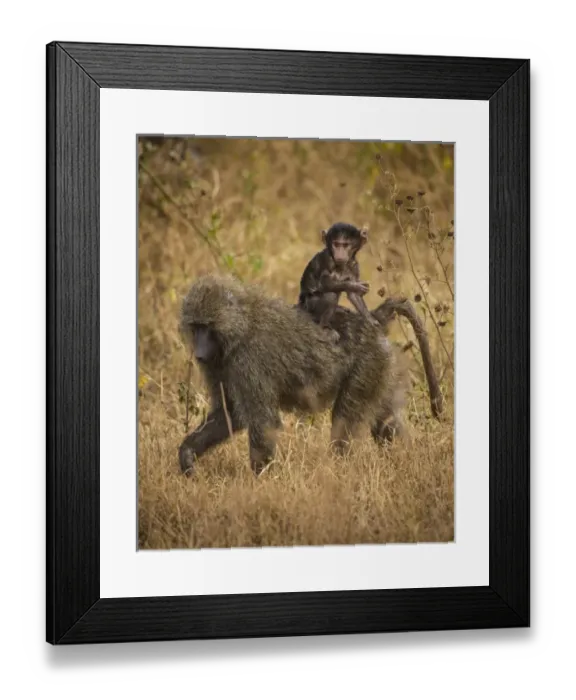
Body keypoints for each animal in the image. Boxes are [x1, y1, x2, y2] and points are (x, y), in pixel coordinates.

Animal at [178, 274, 407, 477]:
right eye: (196, 327)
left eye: (207, 327)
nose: (199, 353)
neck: (240, 326)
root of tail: (373, 320)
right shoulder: (218, 366)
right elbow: (230, 412)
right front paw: (187, 454)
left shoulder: (248, 360)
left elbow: (263, 422)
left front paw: (262, 484)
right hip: (380, 366)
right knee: (385, 422)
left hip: (367, 363)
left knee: (344, 422)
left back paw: (340, 471)